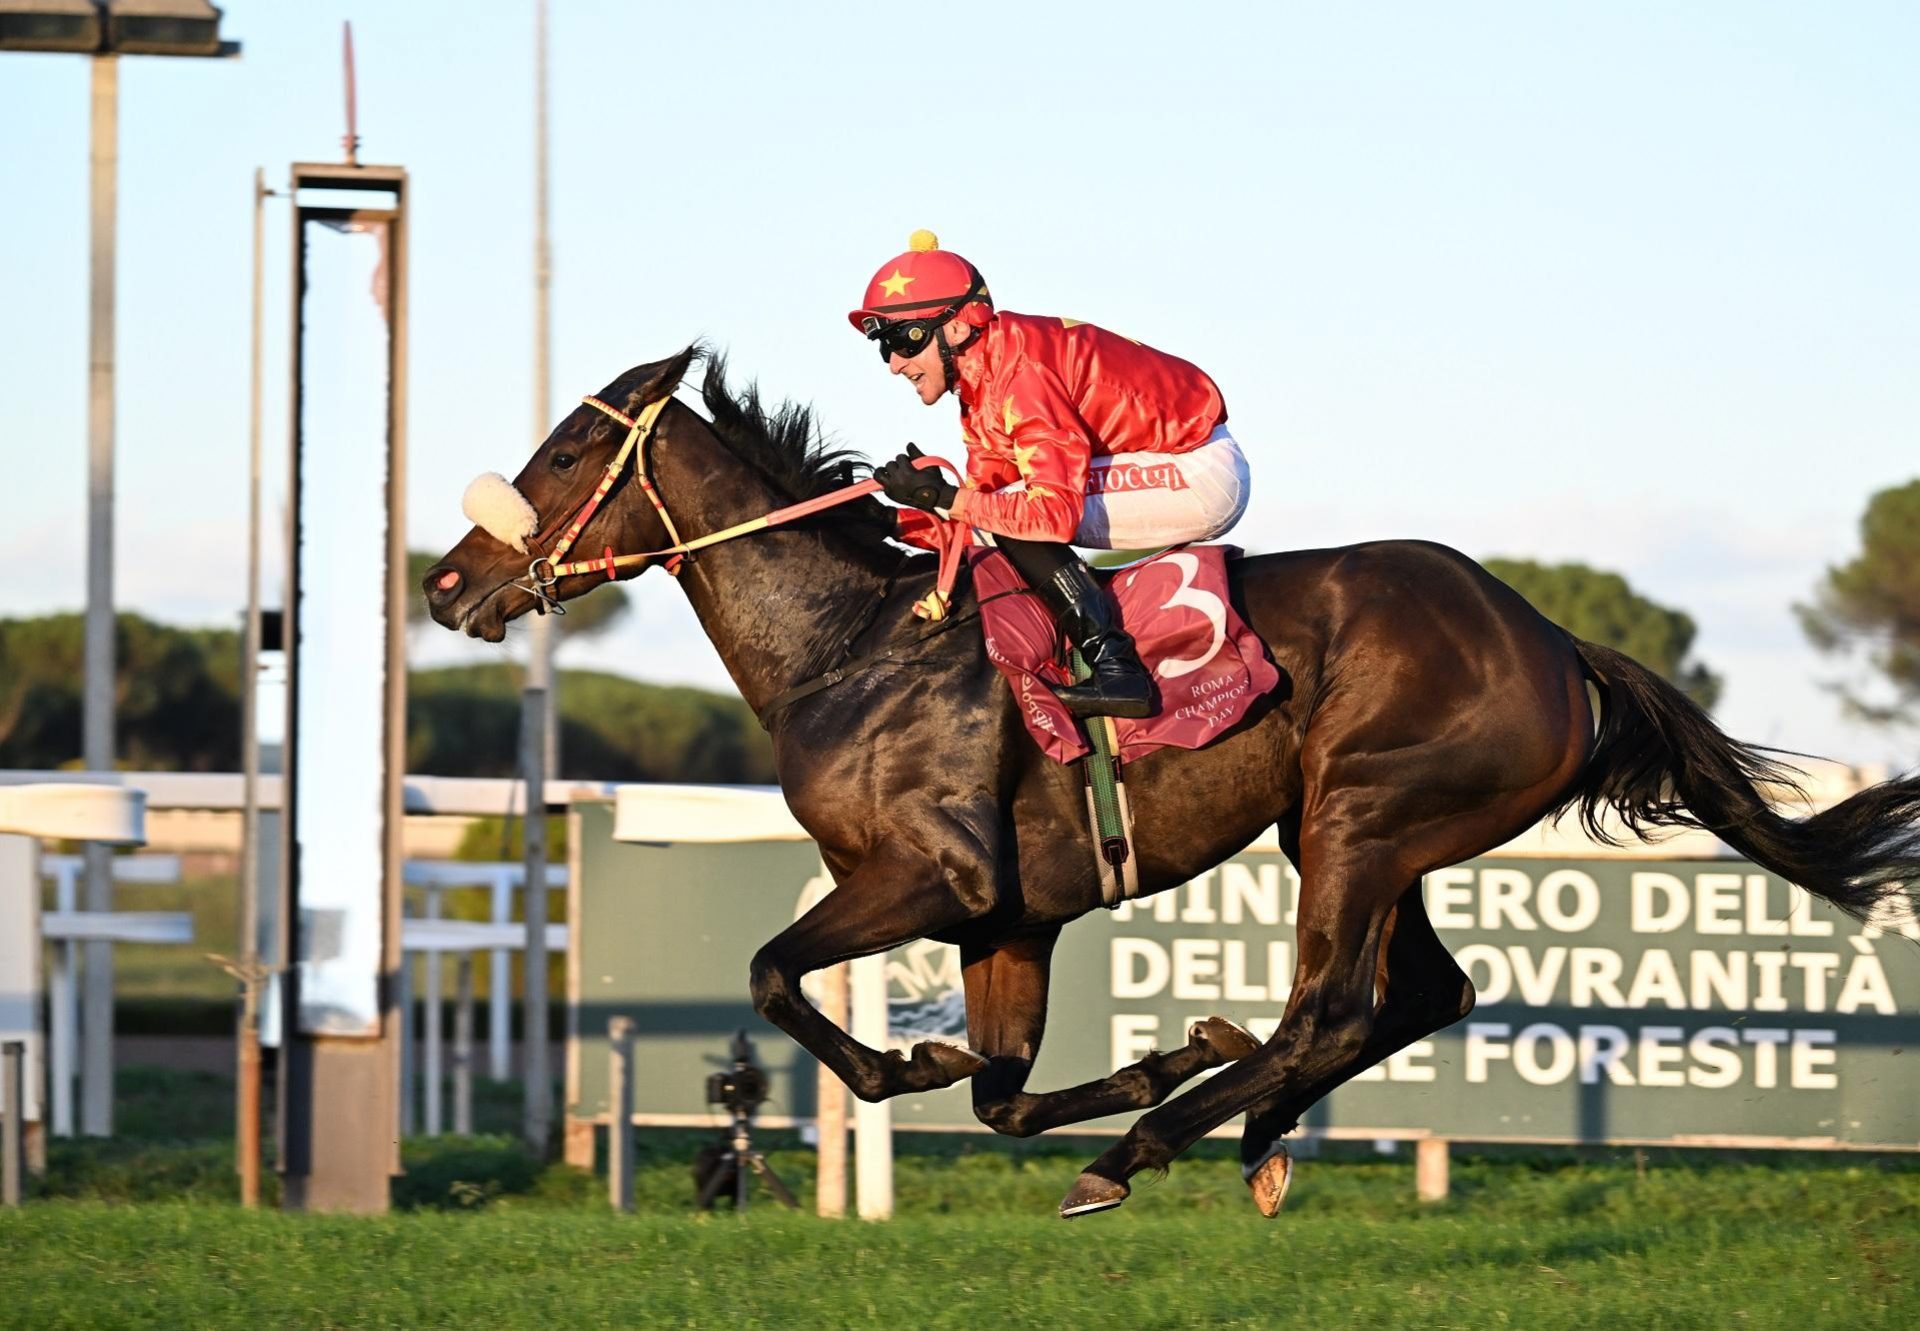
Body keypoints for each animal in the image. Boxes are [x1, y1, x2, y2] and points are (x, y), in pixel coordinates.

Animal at [424, 349, 1920, 1213]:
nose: (444, 581)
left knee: (1330, 1004)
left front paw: (922, 1054)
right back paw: (1241, 1112)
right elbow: (999, 1088)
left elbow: (773, 974)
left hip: (1357, 814)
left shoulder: (932, 873)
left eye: (568, 450)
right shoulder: (1009, 916)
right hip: (1372, 833)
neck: (854, 641)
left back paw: (1165, 1137)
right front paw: (1144, 1049)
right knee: (1420, 995)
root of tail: (1550, 636)